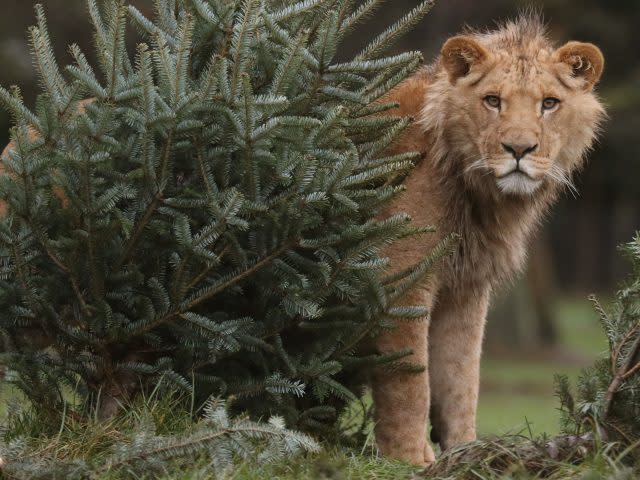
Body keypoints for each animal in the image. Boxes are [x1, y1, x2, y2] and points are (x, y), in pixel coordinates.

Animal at [370, 15, 604, 464]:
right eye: (493, 101)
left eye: (550, 103)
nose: (519, 148)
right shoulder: (401, 277)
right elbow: (408, 381)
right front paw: (410, 460)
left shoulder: (466, 285)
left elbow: (462, 377)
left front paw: (464, 452)